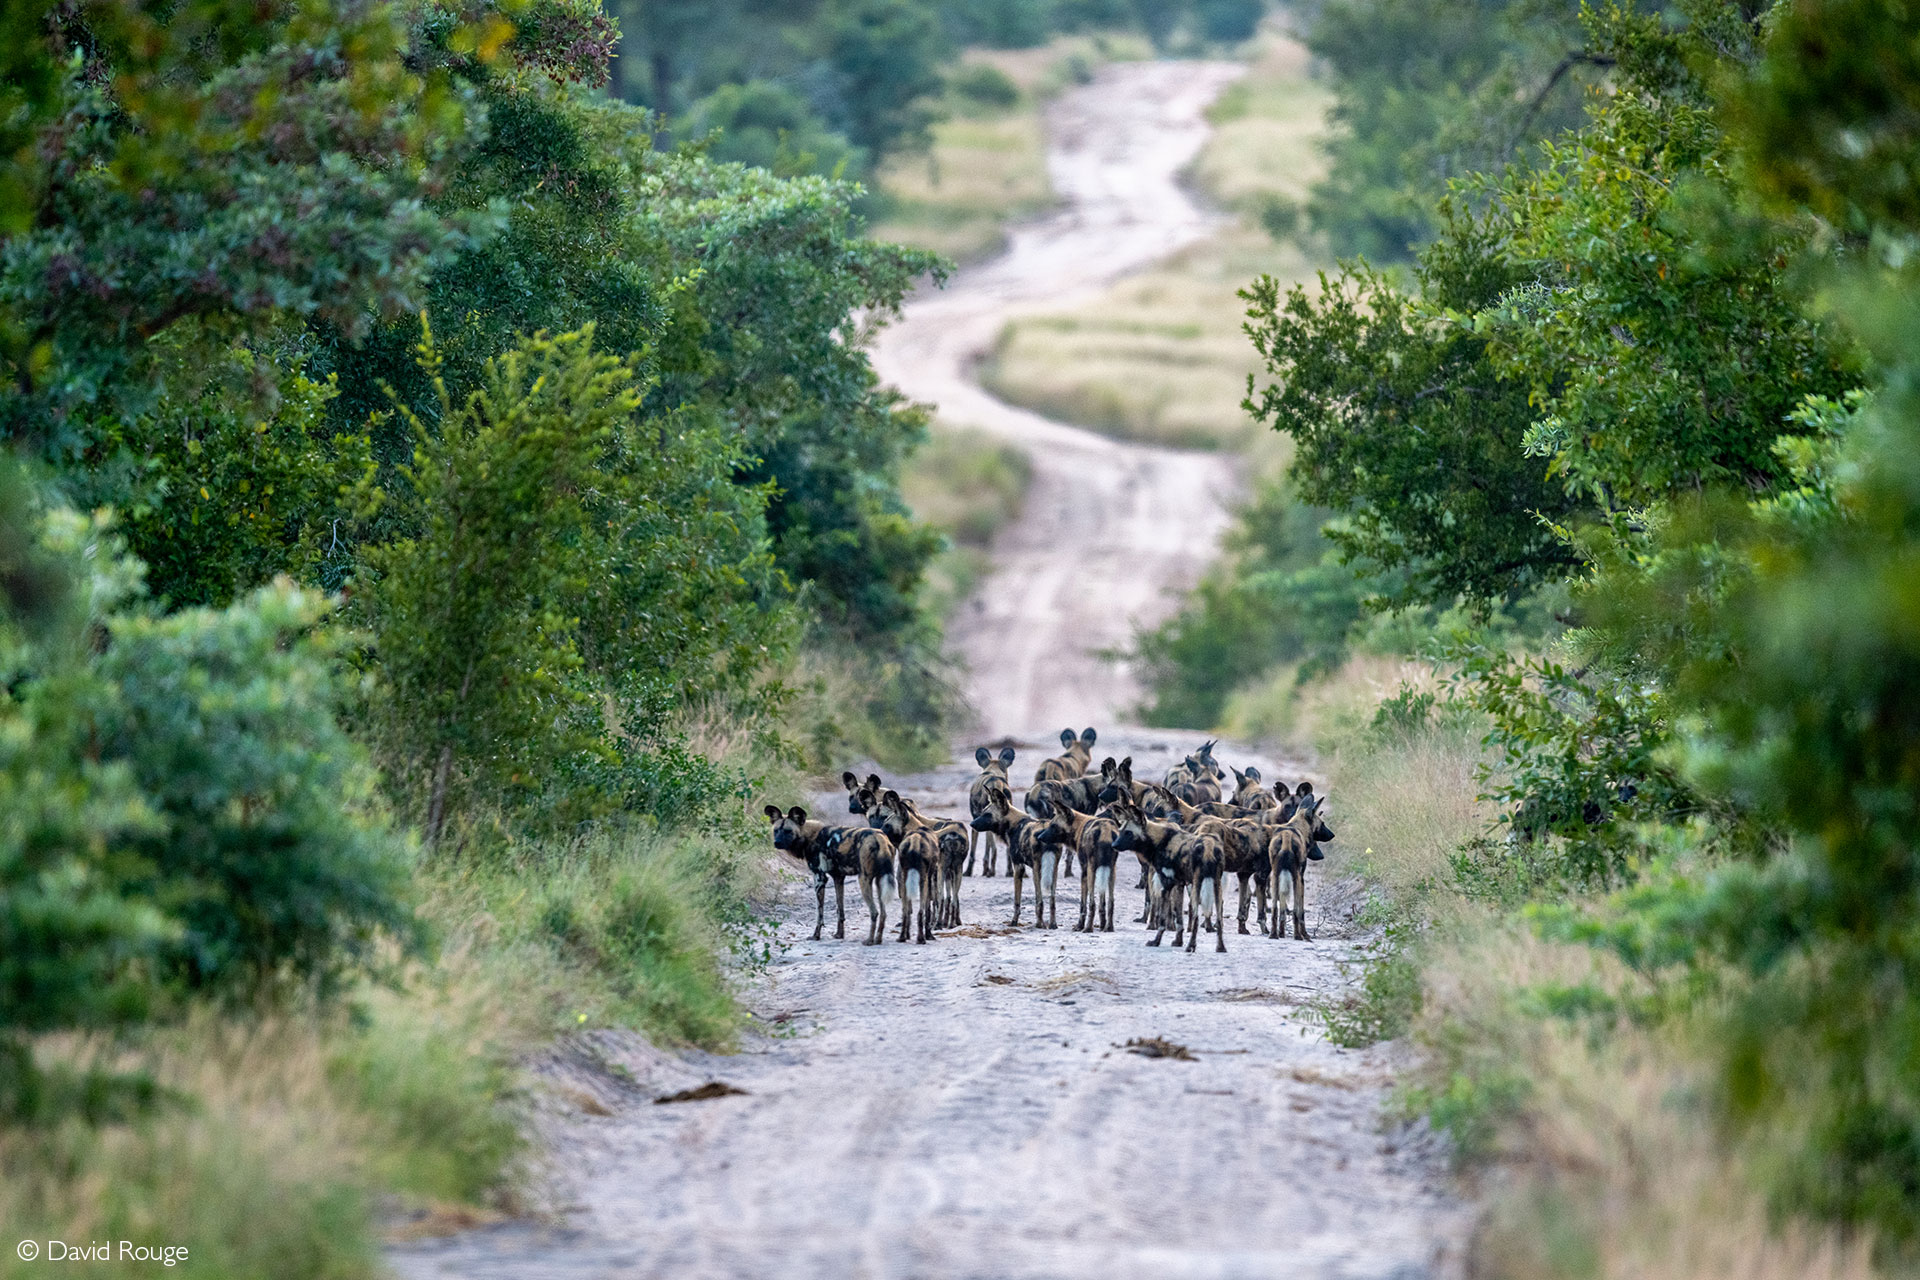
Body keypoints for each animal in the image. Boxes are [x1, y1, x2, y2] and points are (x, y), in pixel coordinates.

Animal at [967, 744, 1013, 875]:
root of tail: (997, 783)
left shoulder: (977, 820)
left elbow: (974, 852)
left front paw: (968, 872)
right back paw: (1009, 871)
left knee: (993, 848)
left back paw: (990, 871)